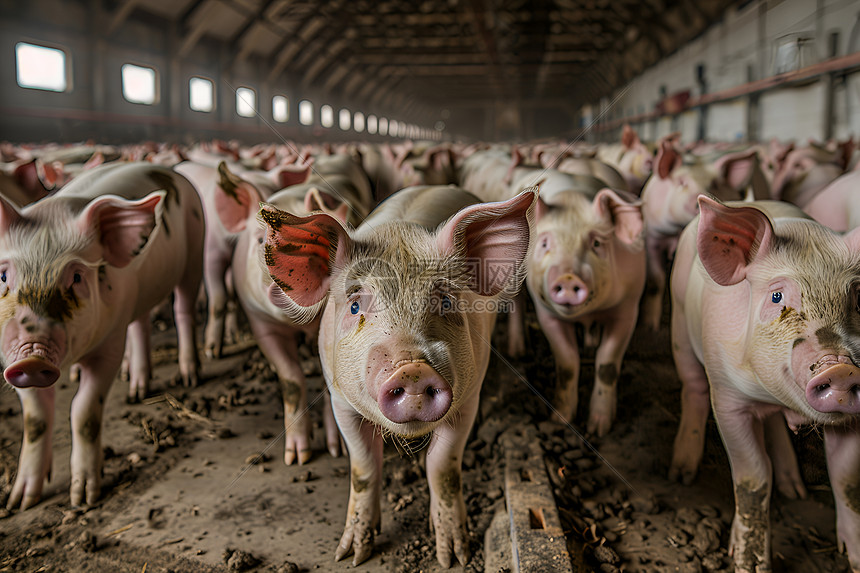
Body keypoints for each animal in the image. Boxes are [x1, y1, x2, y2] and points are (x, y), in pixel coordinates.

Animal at [0, 162, 204, 510]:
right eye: (3, 275)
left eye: (76, 277)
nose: (31, 355)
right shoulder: (6, 359)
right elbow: (35, 419)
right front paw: (19, 503)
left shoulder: (109, 345)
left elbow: (84, 413)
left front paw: (83, 499)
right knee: (140, 324)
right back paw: (136, 388)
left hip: (195, 254)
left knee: (184, 309)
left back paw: (189, 377)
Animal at [258, 185, 536, 564]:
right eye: (355, 306)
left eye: (446, 302)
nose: (413, 369)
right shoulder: (340, 402)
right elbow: (363, 467)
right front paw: (351, 554)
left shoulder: (468, 400)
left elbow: (443, 468)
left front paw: (453, 556)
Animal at [524, 182, 644, 434]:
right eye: (545, 243)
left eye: (596, 243)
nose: (568, 277)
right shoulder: (546, 314)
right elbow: (567, 364)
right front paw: (559, 420)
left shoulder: (628, 308)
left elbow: (607, 364)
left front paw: (598, 429)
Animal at [672, 197, 860, 572]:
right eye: (777, 298)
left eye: (858, 300)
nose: (841, 368)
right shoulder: (728, 401)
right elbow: (753, 477)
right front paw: (749, 564)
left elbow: (846, 479)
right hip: (679, 321)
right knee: (694, 387)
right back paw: (681, 473)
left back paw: (794, 490)